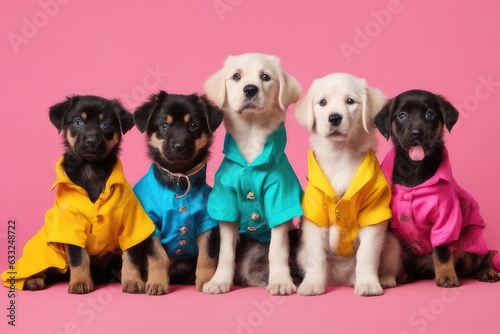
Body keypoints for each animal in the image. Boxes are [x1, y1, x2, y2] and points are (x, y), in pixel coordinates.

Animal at [0, 94, 169, 294]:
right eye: (78, 122)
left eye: (106, 124)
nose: (91, 141)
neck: (91, 169)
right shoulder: (71, 226)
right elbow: (78, 258)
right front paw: (80, 282)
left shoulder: (131, 224)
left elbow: (131, 257)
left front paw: (133, 281)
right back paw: (35, 279)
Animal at [133, 90, 223, 290]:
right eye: (164, 125)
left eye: (193, 125)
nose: (179, 146)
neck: (179, 176)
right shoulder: (151, 223)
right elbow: (158, 256)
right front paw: (157, 283)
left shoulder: (208, 223)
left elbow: (207, 256)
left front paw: (205, 281)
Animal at [201, 52, 302, 294]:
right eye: (236, 76)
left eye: (265, 77)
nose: (250, 89)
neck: (252, 137)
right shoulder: (226, 199)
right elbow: (225, 252)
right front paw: (219, 281)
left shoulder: (279, 196)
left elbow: (277, 249)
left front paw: (281, 281)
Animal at [294, 72, 400, 294]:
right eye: (322, 102)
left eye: (350, 101)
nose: (334, 118)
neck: (340, 155)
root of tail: (342, 278)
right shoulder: (314, 218)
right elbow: (316, 256)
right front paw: (312, 284)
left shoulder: (373, 215)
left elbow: (367, 255)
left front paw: (368, 283)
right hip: (300, 252)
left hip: (392, 244)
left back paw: (384, 278)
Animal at [376, 88, 498, 288]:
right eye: (401, 115)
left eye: (429, 114)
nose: (416, 133)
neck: (414, 167)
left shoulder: (445, 218)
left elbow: (441, 251)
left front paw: (446, 276)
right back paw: (406, 274)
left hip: (471, 237)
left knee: (484, 256)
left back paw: (487, 271)